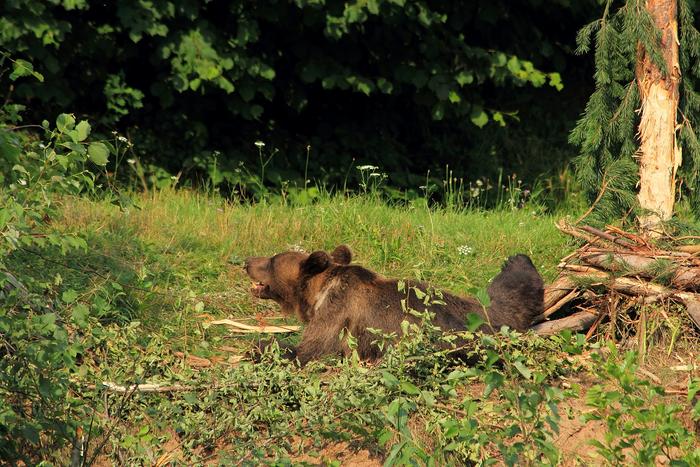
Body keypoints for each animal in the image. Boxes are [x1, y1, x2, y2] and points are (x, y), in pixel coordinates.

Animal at [244, 245, 543, 365]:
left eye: (272, 261)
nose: (246, 262)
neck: (317, 294)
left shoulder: (337, 315)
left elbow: (310, 350)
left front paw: (260, 346)